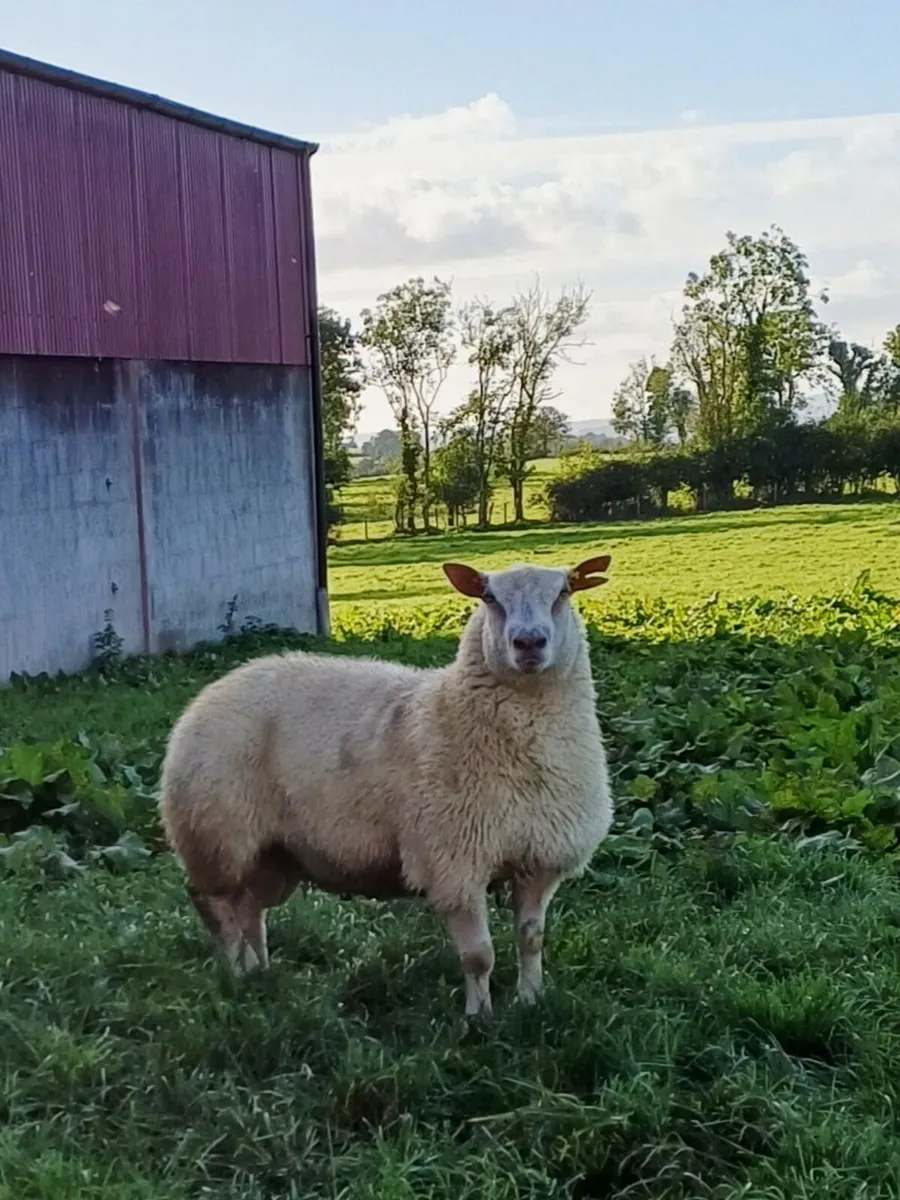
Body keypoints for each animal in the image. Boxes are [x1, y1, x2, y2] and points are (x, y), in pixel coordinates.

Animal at [158, 554, 613, 1018]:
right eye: (489, 597)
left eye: (564, 592)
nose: (529, 642)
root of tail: (221, 684)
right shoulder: (454, 865)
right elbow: (478, 956)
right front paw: (479, 1018)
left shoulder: (540, 859)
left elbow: (531, 940)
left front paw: (530, 1000)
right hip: (216, 835)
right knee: (216, 907)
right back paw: (235, 975)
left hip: (272, 854)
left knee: (249, 909)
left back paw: (258, 972)